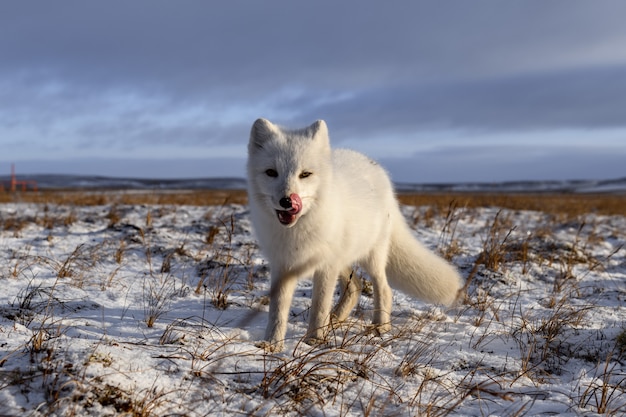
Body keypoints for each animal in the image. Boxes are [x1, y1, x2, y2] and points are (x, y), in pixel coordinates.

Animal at [246, 118, 460, 352]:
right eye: (271, 172)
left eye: (305, 174)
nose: (287, 201)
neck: (296, 231)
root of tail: (374, 165)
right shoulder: (282, 265)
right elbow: (277, 311)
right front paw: (272, 344)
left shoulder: (326, 267)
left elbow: (319, 307)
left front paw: (314, 340)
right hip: (343, 257)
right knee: (355, 287)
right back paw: (336, 319)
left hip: (371, 257)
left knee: (384, 288)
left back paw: (380, 327)